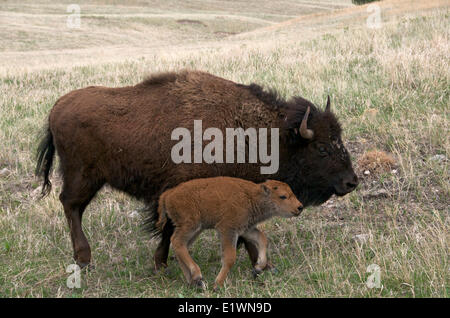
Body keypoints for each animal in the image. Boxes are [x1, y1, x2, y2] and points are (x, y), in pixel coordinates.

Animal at [36, 69, 358, 270]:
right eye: (322, 148)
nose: (351, 182)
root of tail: (56, 108)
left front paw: (261, 266)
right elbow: (169, 229)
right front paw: (162, 264)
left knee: (72, 207)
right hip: (83, 177)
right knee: (71, 206)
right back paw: (84, 259)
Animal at [153, 176, 304, 290]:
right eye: (283, 196)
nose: (300, 207)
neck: (252, 196)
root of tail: (168, 194)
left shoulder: (245, 229)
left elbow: (262, 238)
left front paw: (258, 267)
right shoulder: (228, 230)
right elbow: (230, 257)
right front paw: (217, 285)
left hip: (195, 230)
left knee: (180, 246)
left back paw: (194, 282)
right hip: (190, 226)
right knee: (177, 242)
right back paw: (197, 276)